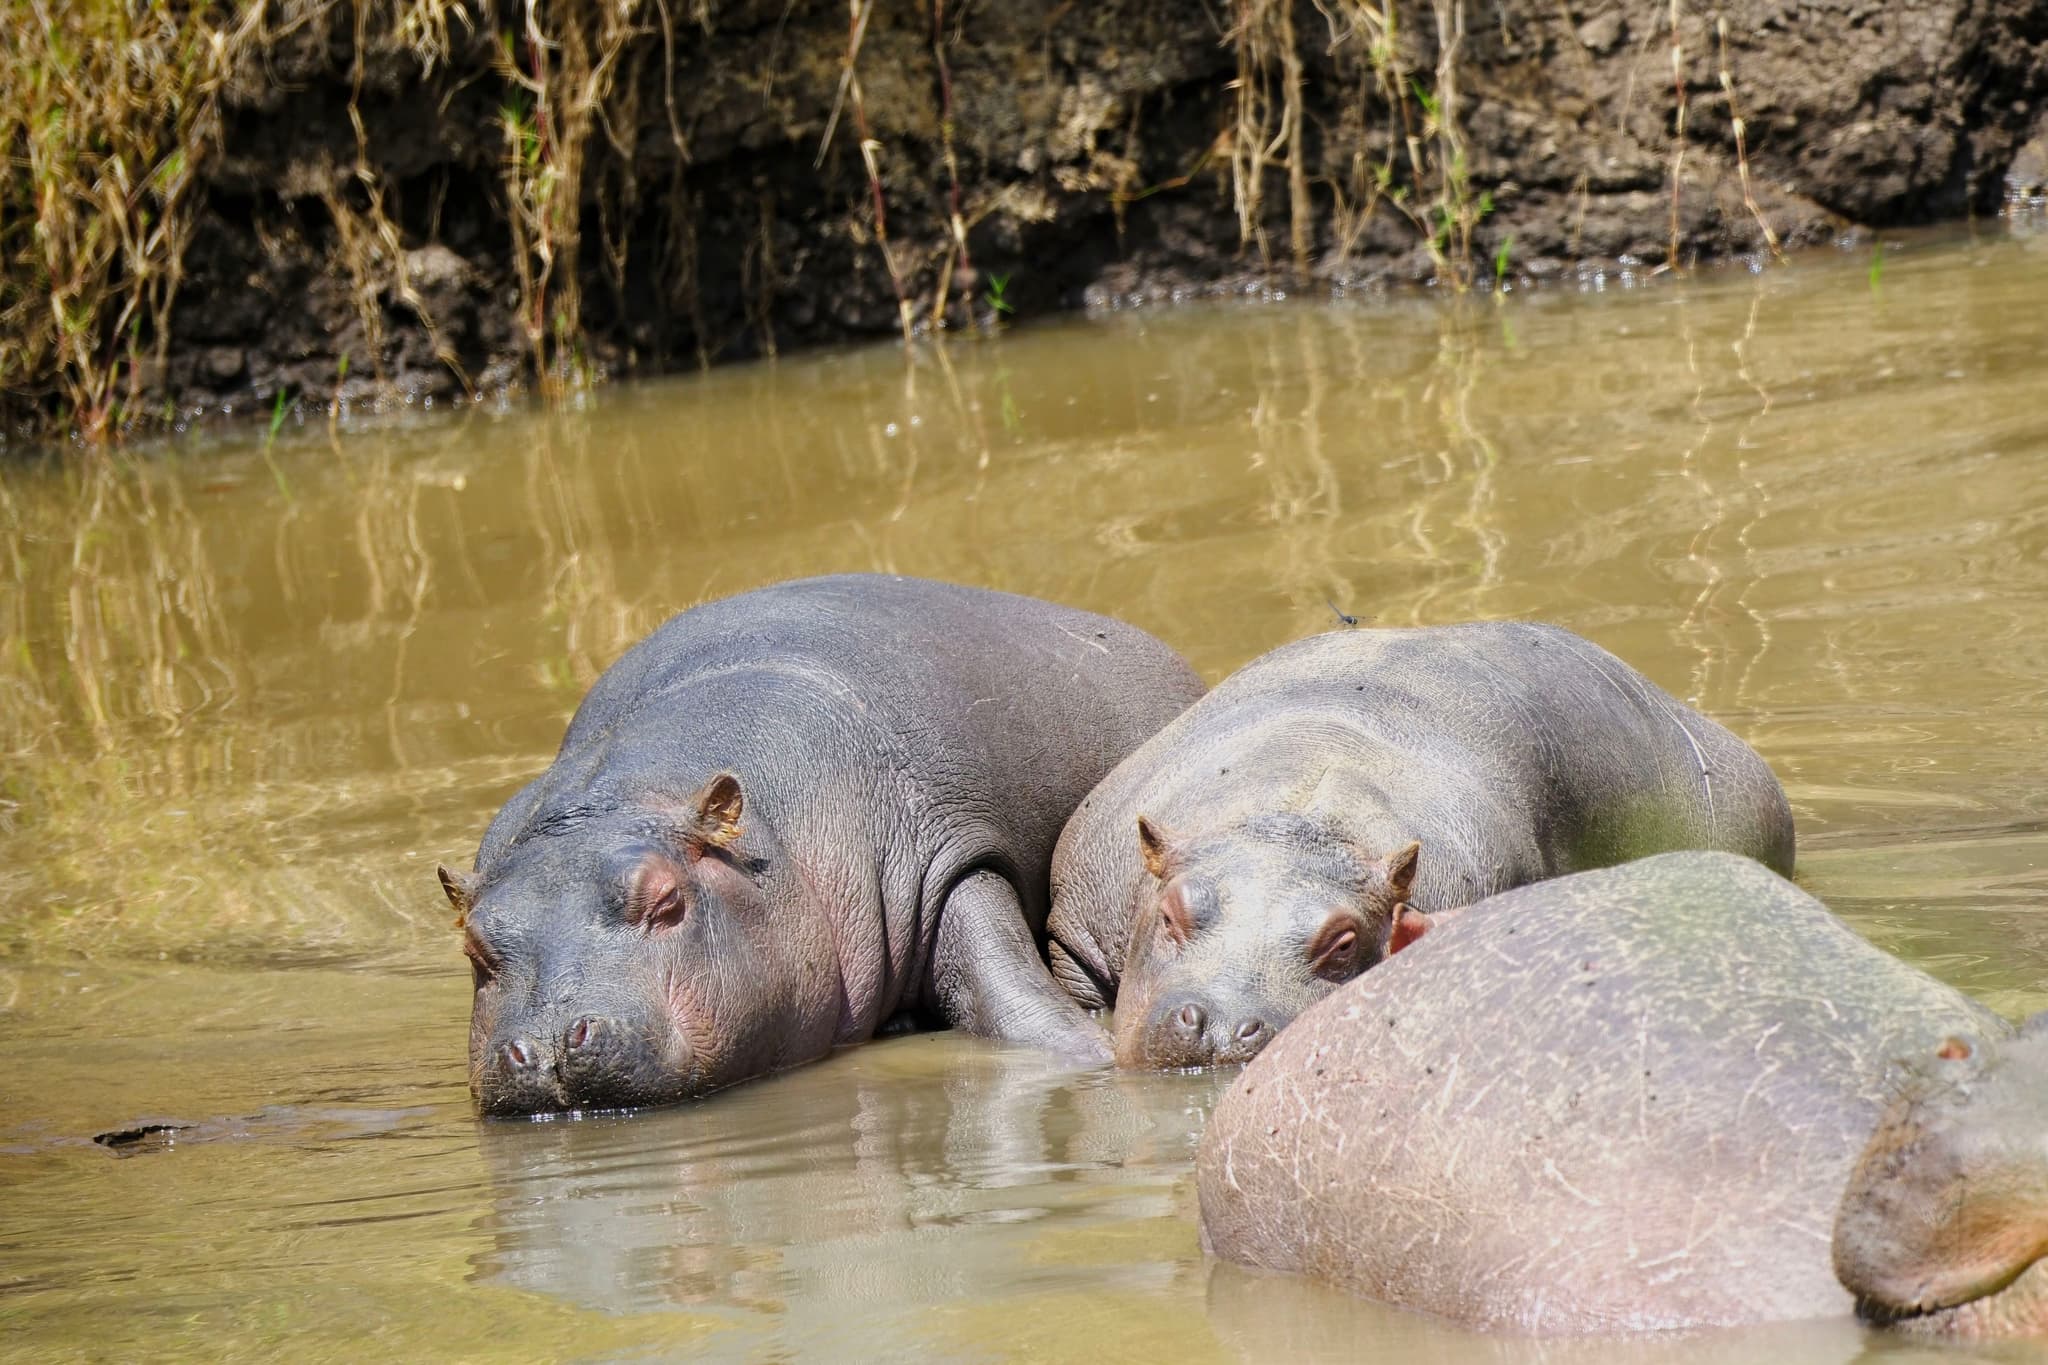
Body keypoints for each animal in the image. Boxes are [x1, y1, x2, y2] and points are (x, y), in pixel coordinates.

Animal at [440, 574, 1204, 1116]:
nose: (544, 1045)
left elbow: (1014, 1000)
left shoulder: (948, 854)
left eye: (665, 901)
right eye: (474, 946)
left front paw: (1093, 1051)